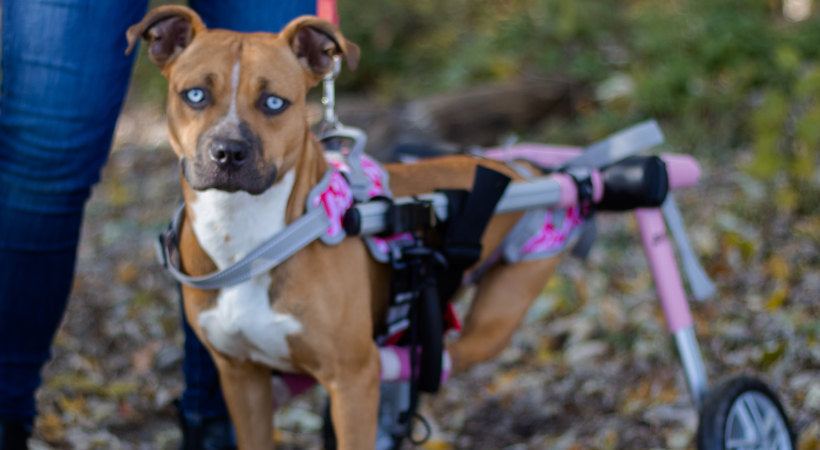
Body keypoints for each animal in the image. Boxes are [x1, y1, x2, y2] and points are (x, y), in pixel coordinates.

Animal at [126, 5, 564, 448]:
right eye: (195, 95)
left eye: (274, 103)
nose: (228, 152)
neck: (246, 237)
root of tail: (519, 169)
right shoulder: (241, 379)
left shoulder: (351, 382)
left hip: (497, 318)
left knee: (440, 356)